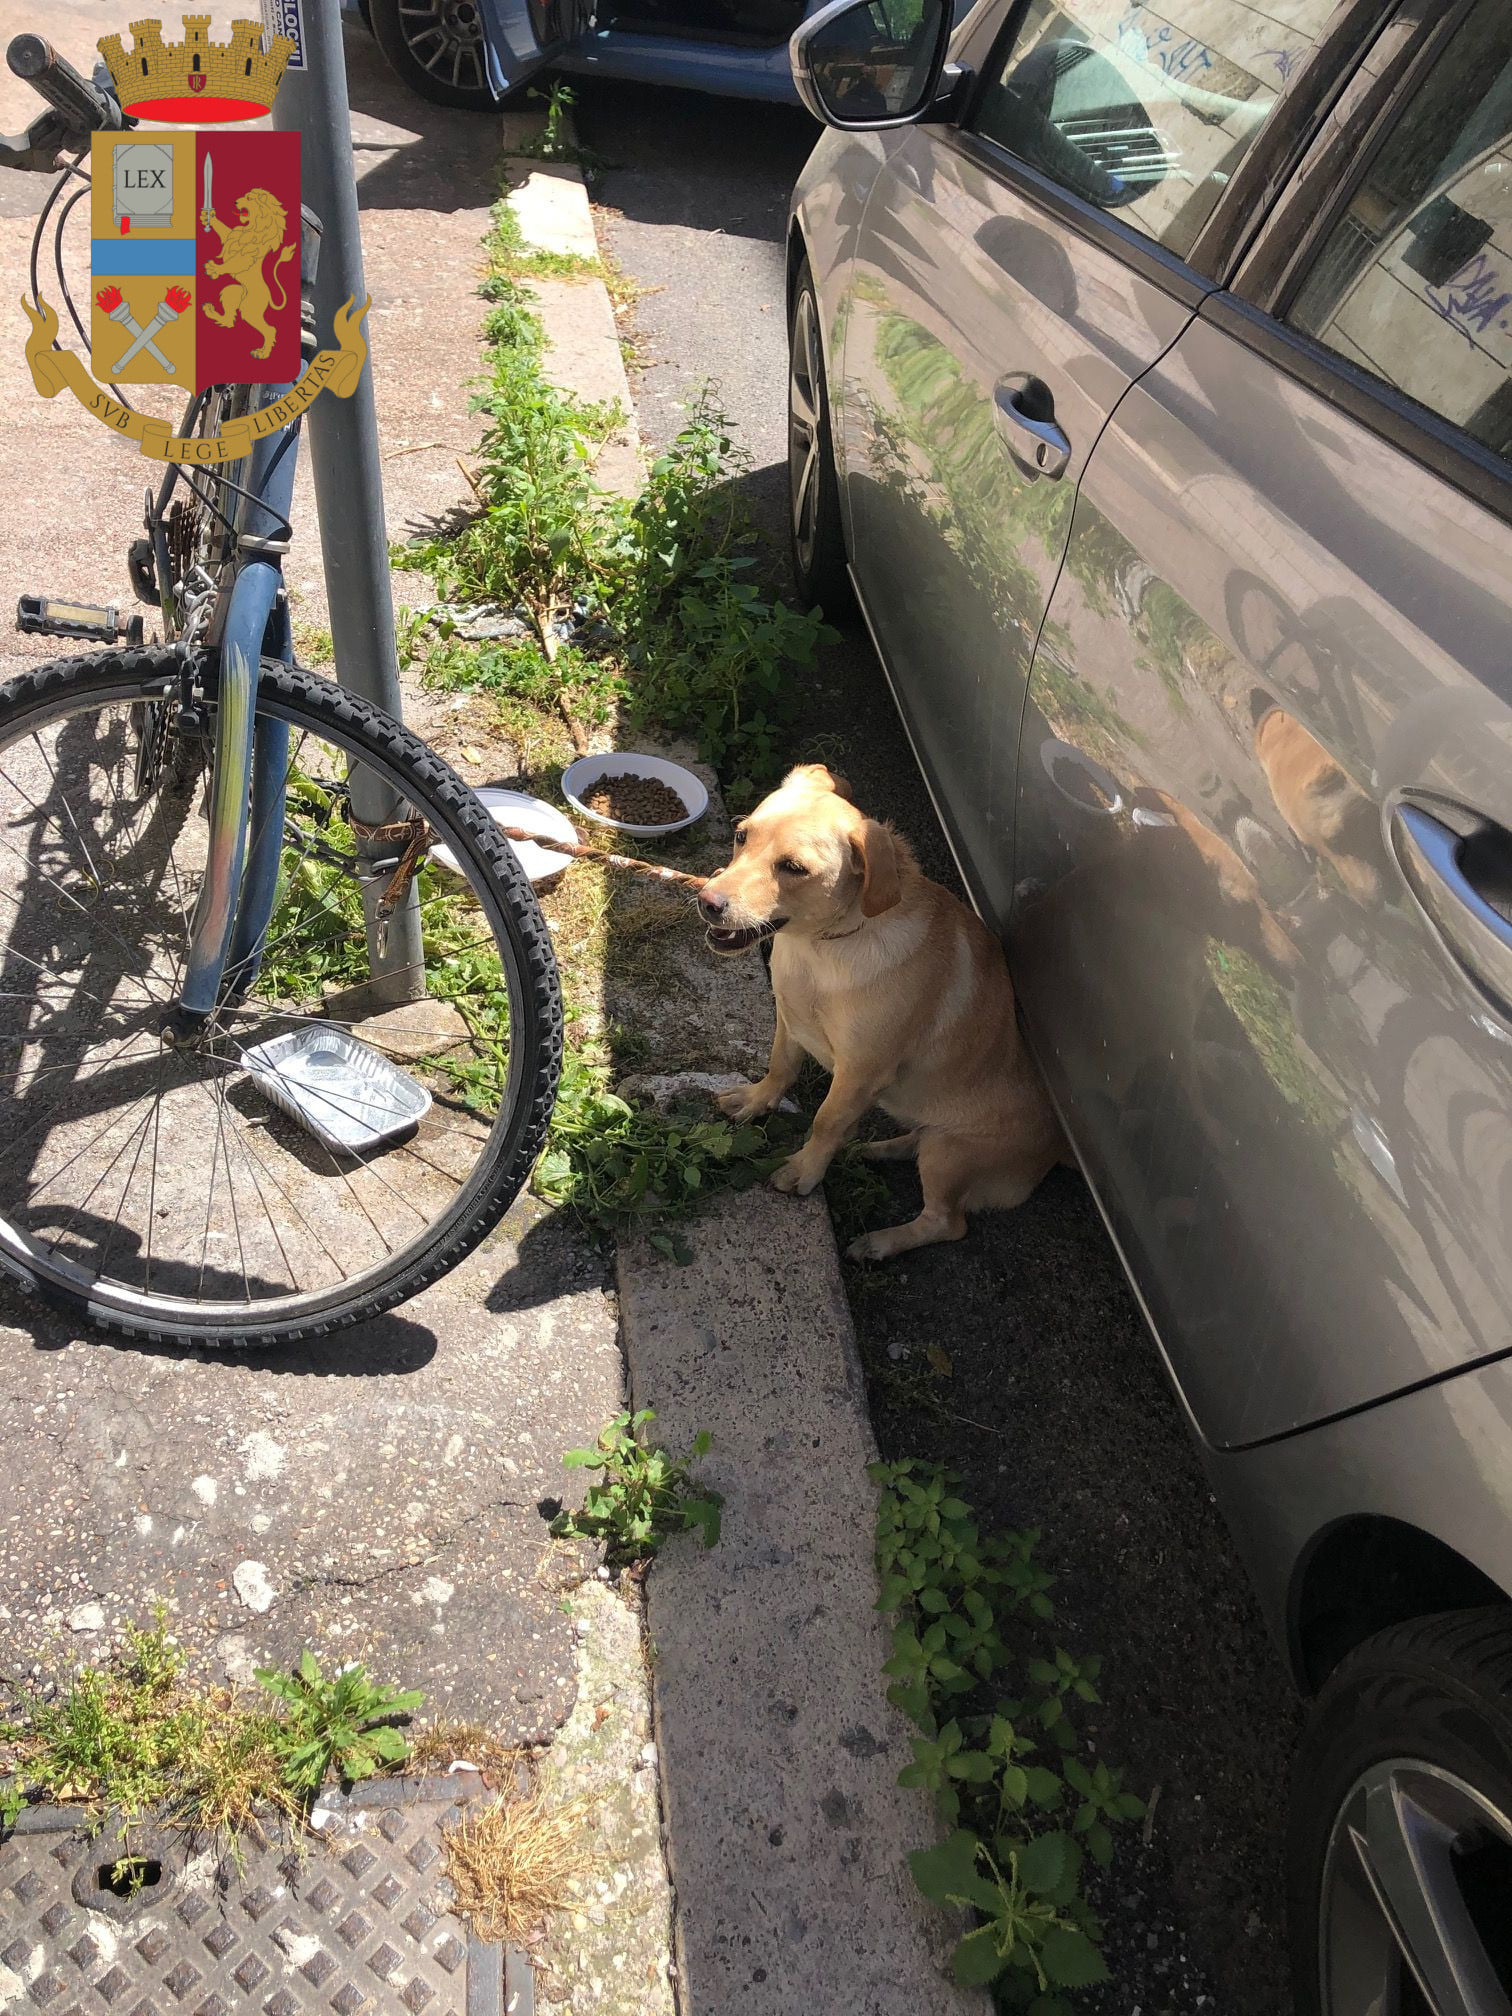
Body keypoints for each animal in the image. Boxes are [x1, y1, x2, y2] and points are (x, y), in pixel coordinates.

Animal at [199, 189, 298, 362]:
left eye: (249, 198)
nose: (235, 202)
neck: (254, 227)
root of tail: (268, 296)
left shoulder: (248, 255)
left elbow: (234, 263)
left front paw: (215, 269)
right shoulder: (232, 237)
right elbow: (225, 231)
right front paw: (208, 216)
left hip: (250, 308)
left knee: (270, 329)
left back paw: (262, 353)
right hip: (233, 292)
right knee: (229, 320)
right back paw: (210, 311)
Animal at [701, 766, 1064, 1257]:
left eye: (794, 868)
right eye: (741, 836)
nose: (706, 902)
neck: (820, 950)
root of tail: (1060, 1145)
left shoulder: (860, 1071)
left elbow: (826, 1121)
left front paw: (805, 1171)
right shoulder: (789, 1022)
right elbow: (780, 1068)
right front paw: (758, 1101)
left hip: (950, 1155)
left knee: (947, 1222)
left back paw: (880, 1243)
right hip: (935, 1141)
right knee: (917, 1142)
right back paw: (875, 1150)